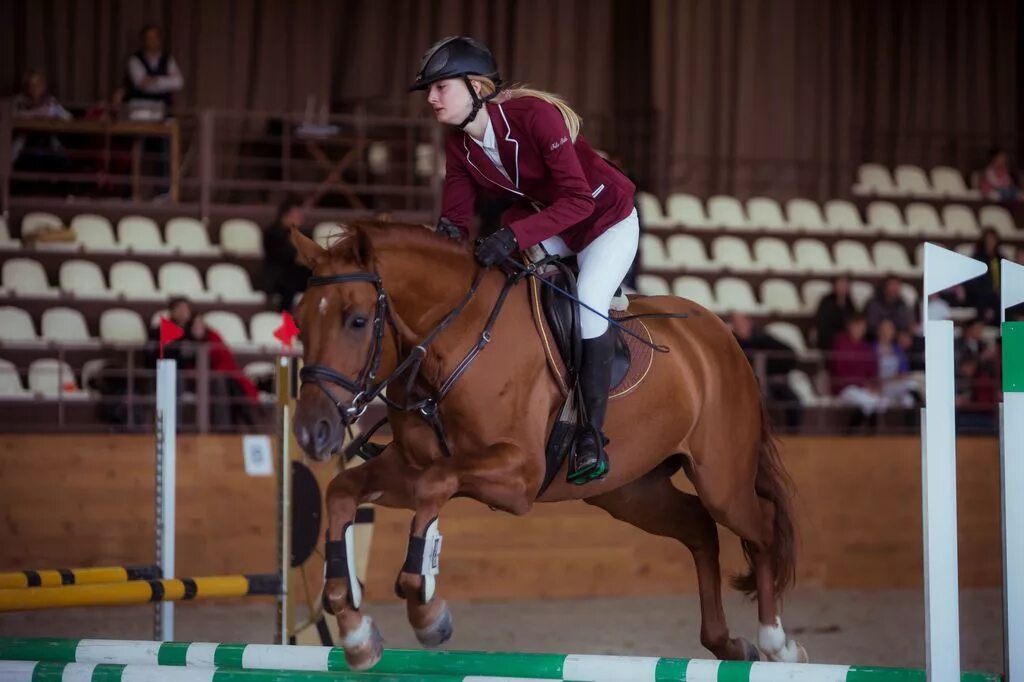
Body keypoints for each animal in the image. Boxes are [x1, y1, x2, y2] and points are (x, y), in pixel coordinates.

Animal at [290, 222, 806, 663]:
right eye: (300, 319)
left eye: (358, 321)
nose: (311, 432)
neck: (456, 340)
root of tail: (719, 334)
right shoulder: (408, 466)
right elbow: (345, 491)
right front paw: (355, 631)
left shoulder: (517, 476)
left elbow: (435, 486)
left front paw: (427, 612)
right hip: (630, 492)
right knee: (699, 528)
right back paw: (727, 643)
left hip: (721, 480)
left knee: (761, 526)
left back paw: (777, 644)